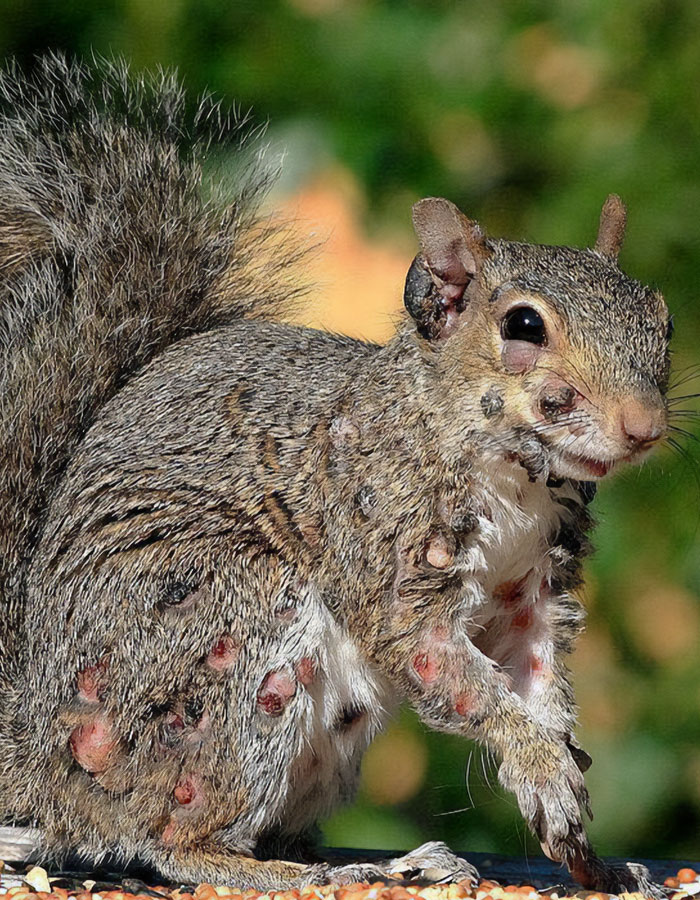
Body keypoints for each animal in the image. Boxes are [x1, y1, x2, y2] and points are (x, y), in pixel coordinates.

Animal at [0, 55, 672, 896]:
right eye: (523, 325)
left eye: (662, 318)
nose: (644, 426)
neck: (514, 479)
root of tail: (45, 761)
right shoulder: (387, 550)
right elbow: (445, 666)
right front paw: (540, 764)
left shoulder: (534, 589)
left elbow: (536, 678)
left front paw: (576, 818)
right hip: (226, 634)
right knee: (163, 837)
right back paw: (281, 872)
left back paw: (395, 861)